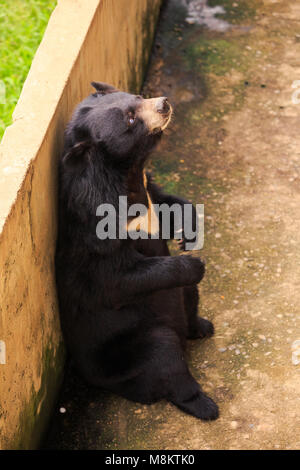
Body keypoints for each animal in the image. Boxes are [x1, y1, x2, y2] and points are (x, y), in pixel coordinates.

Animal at [56, 82, 219, 420]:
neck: (128, 174)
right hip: (131, 349)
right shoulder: (97, 231)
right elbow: (120, 277)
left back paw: (201, 326)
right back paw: (205, 405)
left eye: (138, 97)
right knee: (167, 360)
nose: (164, 103)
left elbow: (169, 204)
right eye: (131, 119)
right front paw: (195, 263)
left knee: (189, 297)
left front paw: (187, 236)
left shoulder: (148, 187)